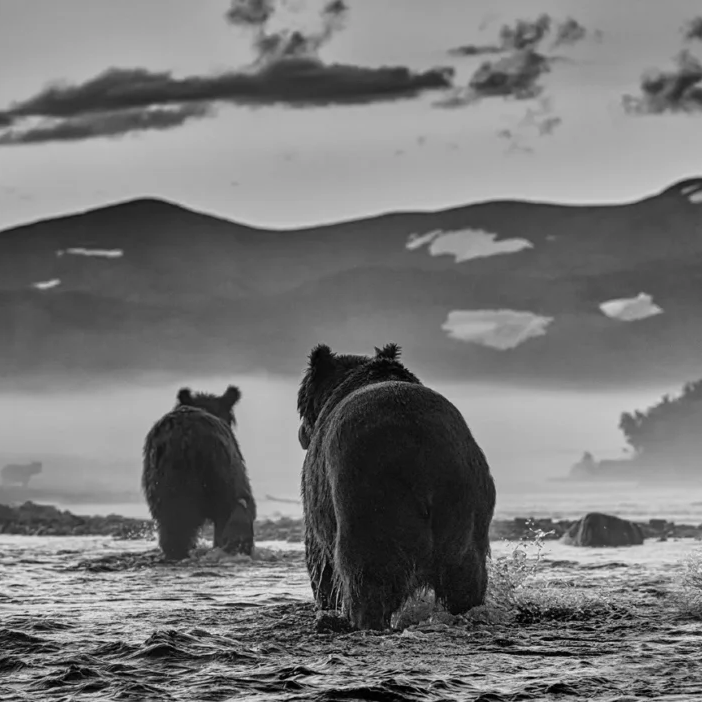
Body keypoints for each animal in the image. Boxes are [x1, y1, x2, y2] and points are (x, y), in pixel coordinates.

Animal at [296, 342, 497, 631]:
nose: (302, 434)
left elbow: (320, 562)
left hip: (369, 499)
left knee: (366, 580)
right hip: (466, 505)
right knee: (465, 582)